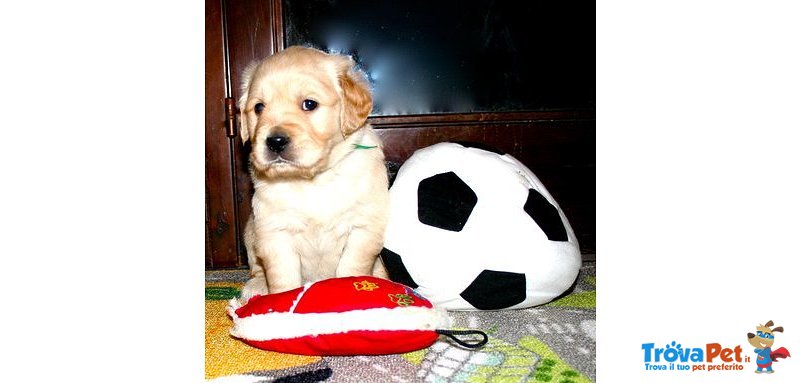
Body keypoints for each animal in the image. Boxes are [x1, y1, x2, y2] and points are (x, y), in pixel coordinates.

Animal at [236, 45, 390, 304]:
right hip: (250, 231)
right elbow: (283, 277)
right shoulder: (274, 231)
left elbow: (352, 267)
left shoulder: (364, 226)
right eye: (258, 107)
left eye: (309, 104)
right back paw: (256, 286)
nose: (275, 142)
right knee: (257, 269)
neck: (314, 179)